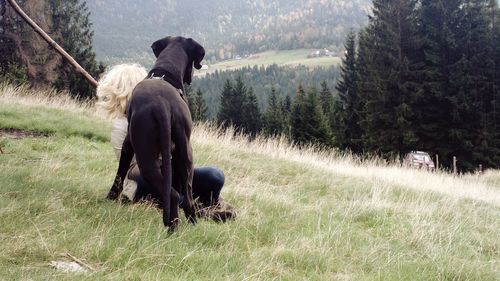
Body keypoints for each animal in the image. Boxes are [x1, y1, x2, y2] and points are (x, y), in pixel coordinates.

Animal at [107, 36, 205, 230]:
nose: (191, 77)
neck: (165, 72)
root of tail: (163, 105)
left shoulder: (128, 145)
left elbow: (119, 174)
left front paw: (109, 198)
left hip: (146, 158)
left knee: (173, 194)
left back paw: (171, 228)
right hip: (186, 155)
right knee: (187, 198)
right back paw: (189, 225)